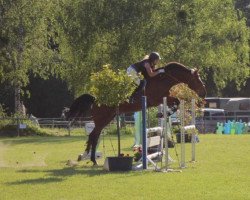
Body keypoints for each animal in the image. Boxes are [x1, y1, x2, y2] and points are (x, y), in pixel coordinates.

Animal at [65, 61, 207, 165]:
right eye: (197, 79)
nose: (204, 93)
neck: (164, 79)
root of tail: (96, 99)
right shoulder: (156, 99)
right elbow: (176, 102)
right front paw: (164, 113)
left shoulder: (165, 97)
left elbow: (176, 102)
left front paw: (164, 113)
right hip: (102, 119)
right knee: (94, 136)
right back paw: (92, 159)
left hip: (109, 117)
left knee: (93, 136)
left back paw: (89, 157)